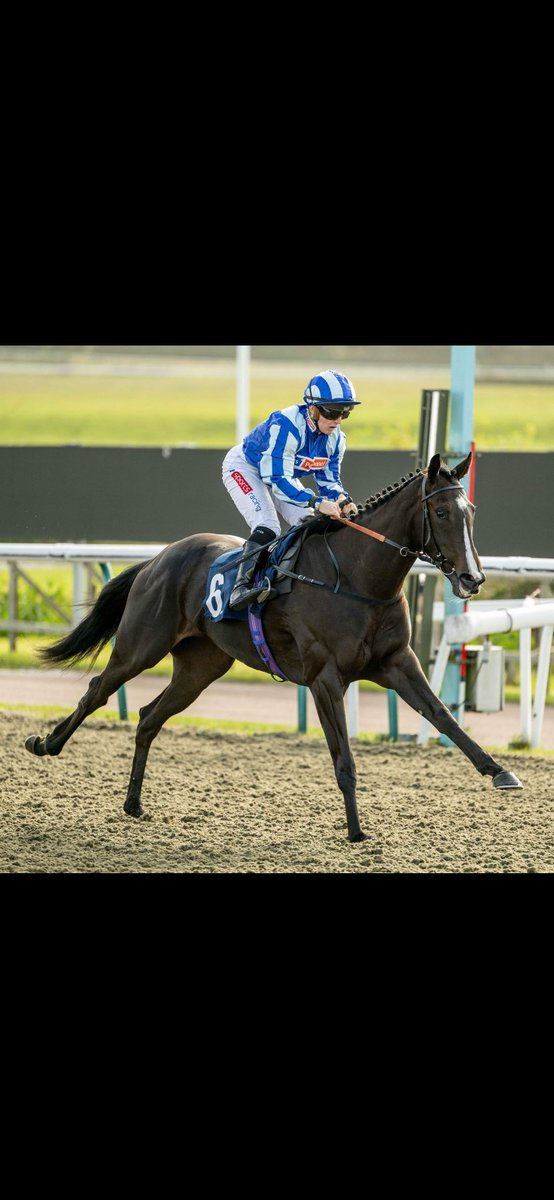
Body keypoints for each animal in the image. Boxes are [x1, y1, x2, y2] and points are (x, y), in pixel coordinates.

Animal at [24, 452, 522, 842]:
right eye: (441, 514)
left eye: (470, 511)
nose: (472, 578)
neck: (358, 578)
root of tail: (158, 558)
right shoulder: (325, 679)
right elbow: (344, 759)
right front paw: (356, 831)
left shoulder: (397, 662)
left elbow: (443, 715)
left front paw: (500, 771)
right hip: (141, 646)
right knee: (97, 690)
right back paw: (45, 744)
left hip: (201, 667)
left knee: (148, 717)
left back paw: (132, 803)